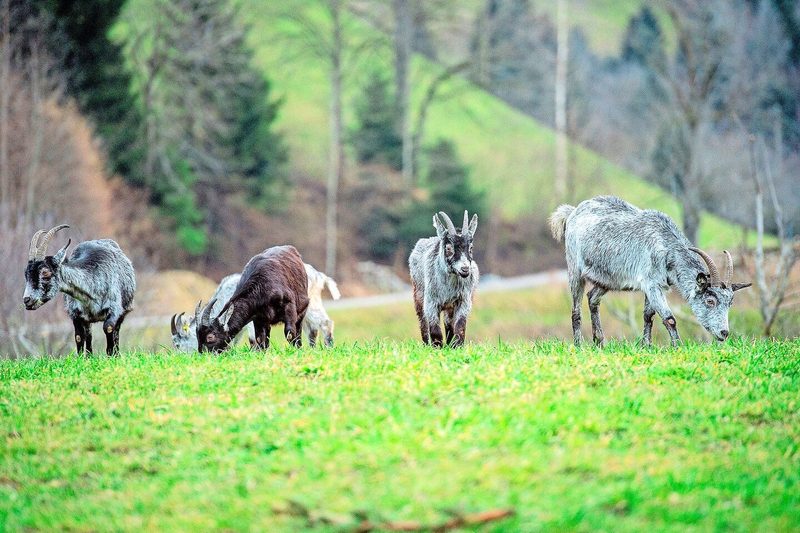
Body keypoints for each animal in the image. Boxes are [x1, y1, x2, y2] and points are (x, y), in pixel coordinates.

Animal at [23, 224, 136, 355]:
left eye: (45, 273)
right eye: (26, 274)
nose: (27, 300)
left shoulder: (115, 308)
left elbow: (108, 328)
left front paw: (111, 355)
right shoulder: (75, 314)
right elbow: (79, 337)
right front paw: (83, 358)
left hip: (124, 310)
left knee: (116, 331)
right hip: (87, 320)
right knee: (89, 335)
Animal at [409, 210, 479, 347]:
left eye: (471, 248)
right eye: (448, 248)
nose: (465, 269)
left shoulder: (463, 300)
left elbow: (460, 326)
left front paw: (457, 346)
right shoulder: (431, 302)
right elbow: (435, 329)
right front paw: (437, 347)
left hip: (449, 307)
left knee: (448, 323)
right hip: (418, 294)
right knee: (423, 322)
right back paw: (426, 344)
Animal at [549, 196, 752, 346]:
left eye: (730, 303)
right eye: (710, 301)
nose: (724, 333)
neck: (665, 244)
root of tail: (573, 211)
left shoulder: (655, 285)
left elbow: (648, 316)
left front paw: (647, 346)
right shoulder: (651, 284)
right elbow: (669, 318)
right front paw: (678, 347)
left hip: (609, 279)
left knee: (592, 298)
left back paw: (599, 342)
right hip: (574, 269)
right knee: (576, 309)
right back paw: (579, 346)